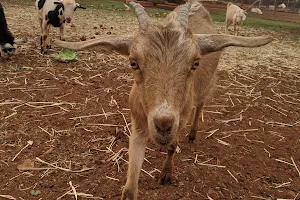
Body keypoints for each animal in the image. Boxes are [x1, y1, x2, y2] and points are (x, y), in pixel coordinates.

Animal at [52, 0, 274, 199]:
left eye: (195, 63)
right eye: (133, 63)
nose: (163, 125)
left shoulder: (180, 118)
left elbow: (172, 146)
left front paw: (166, 174)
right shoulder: (138, 122)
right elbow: (131, 178)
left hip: (205, 88)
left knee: (200, 106)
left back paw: (192, 134)